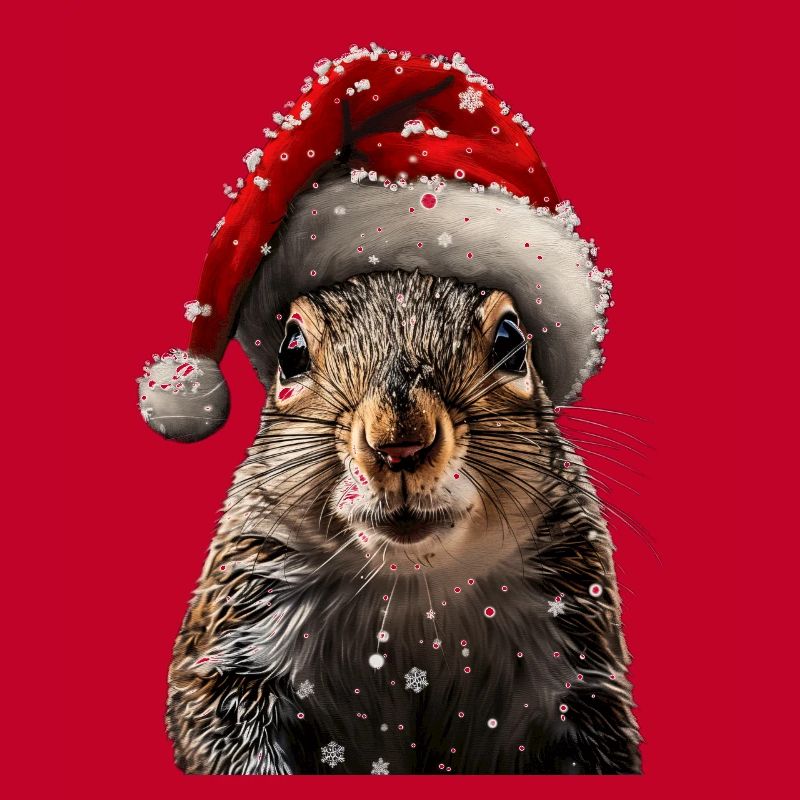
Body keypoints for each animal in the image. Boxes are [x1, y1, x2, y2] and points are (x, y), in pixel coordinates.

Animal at [166, 264, 641, 774]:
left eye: (511, 342)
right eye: (290, 351)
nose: (399, 443)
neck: (415, 588)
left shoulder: (578, 664)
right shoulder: (242, 634)